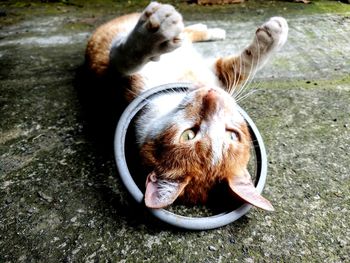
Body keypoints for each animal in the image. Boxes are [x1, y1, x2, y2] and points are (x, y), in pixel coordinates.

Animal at [85, 1, 288, 212]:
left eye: (232, 135)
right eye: (188, 134)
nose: (212, 96)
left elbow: (243, 66)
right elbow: (243, 66)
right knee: (187, 33)